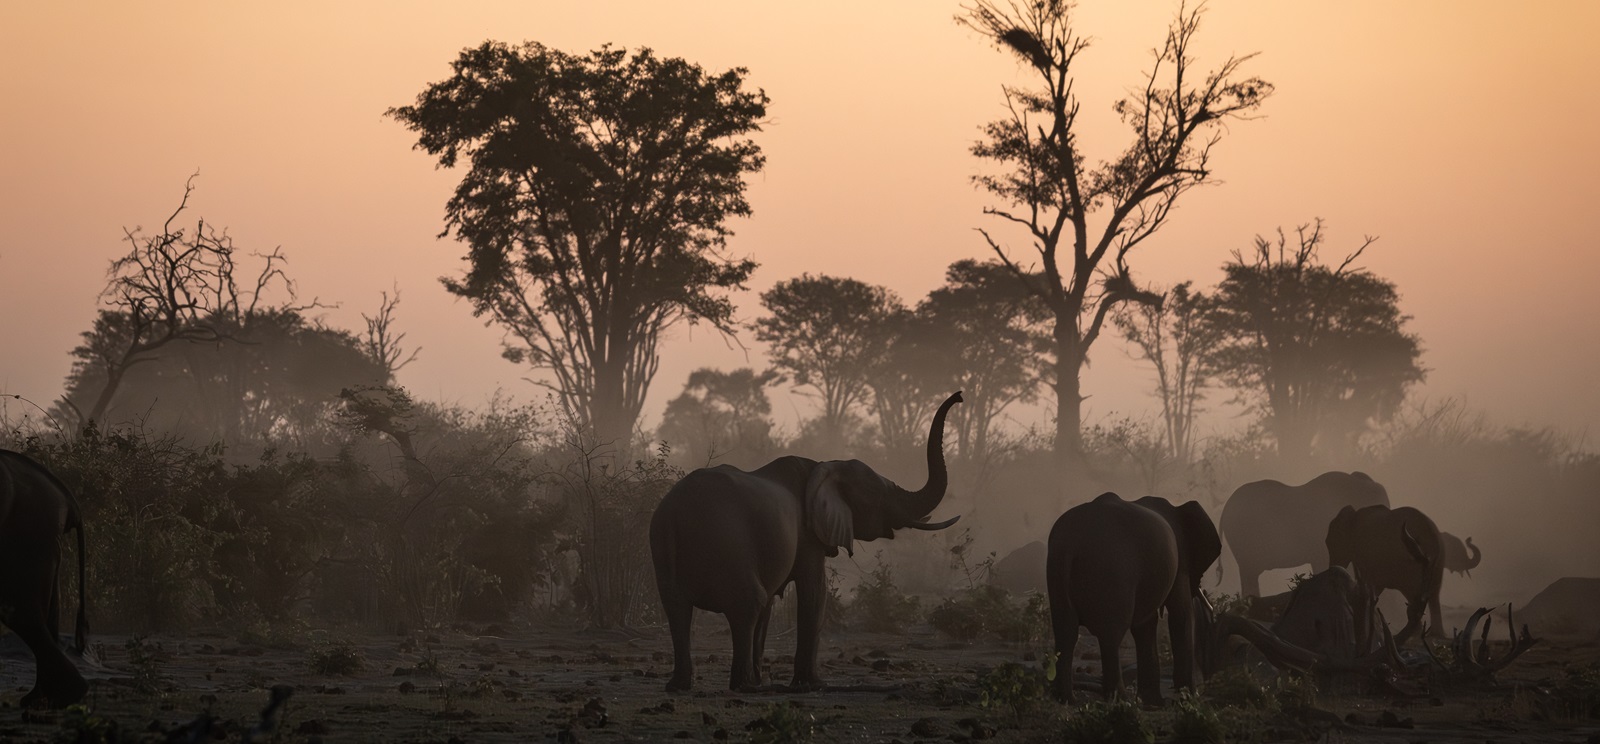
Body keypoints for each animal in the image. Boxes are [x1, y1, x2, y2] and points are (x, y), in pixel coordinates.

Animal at [649, 392, 963, 691]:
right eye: (878, 494)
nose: (959, 396)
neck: (825, 467)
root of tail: (675, 513)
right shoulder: (807, 535)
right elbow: (814, 593)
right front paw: (813, 685)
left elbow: (771, 605)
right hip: (729, 541)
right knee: (748, 602)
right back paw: (745, 686)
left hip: (663, 546)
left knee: (678, 608)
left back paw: (681, 686)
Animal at [1045, 493, 1220, 704]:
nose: (1213, 612)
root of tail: (1069, 545)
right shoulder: (1180, 561)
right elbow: (1181, 614)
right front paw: (1188, 698)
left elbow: (1145, 624)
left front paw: (1152, 703)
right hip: (1114, 573)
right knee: (1111, 635)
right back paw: (1121, 700)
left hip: (1057, 573)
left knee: (1066, 632)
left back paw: (1066, 699)